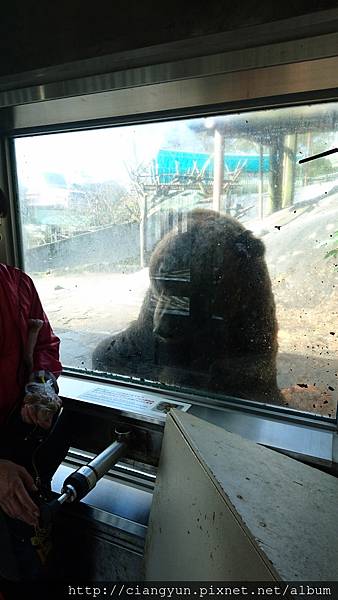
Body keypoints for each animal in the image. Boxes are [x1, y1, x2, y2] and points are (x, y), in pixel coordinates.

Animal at [92, 209, 282, 406]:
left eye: (198, 288)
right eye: (162, 276)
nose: (163, 328)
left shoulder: (247, 330)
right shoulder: (148, 326)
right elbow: (118, 350)